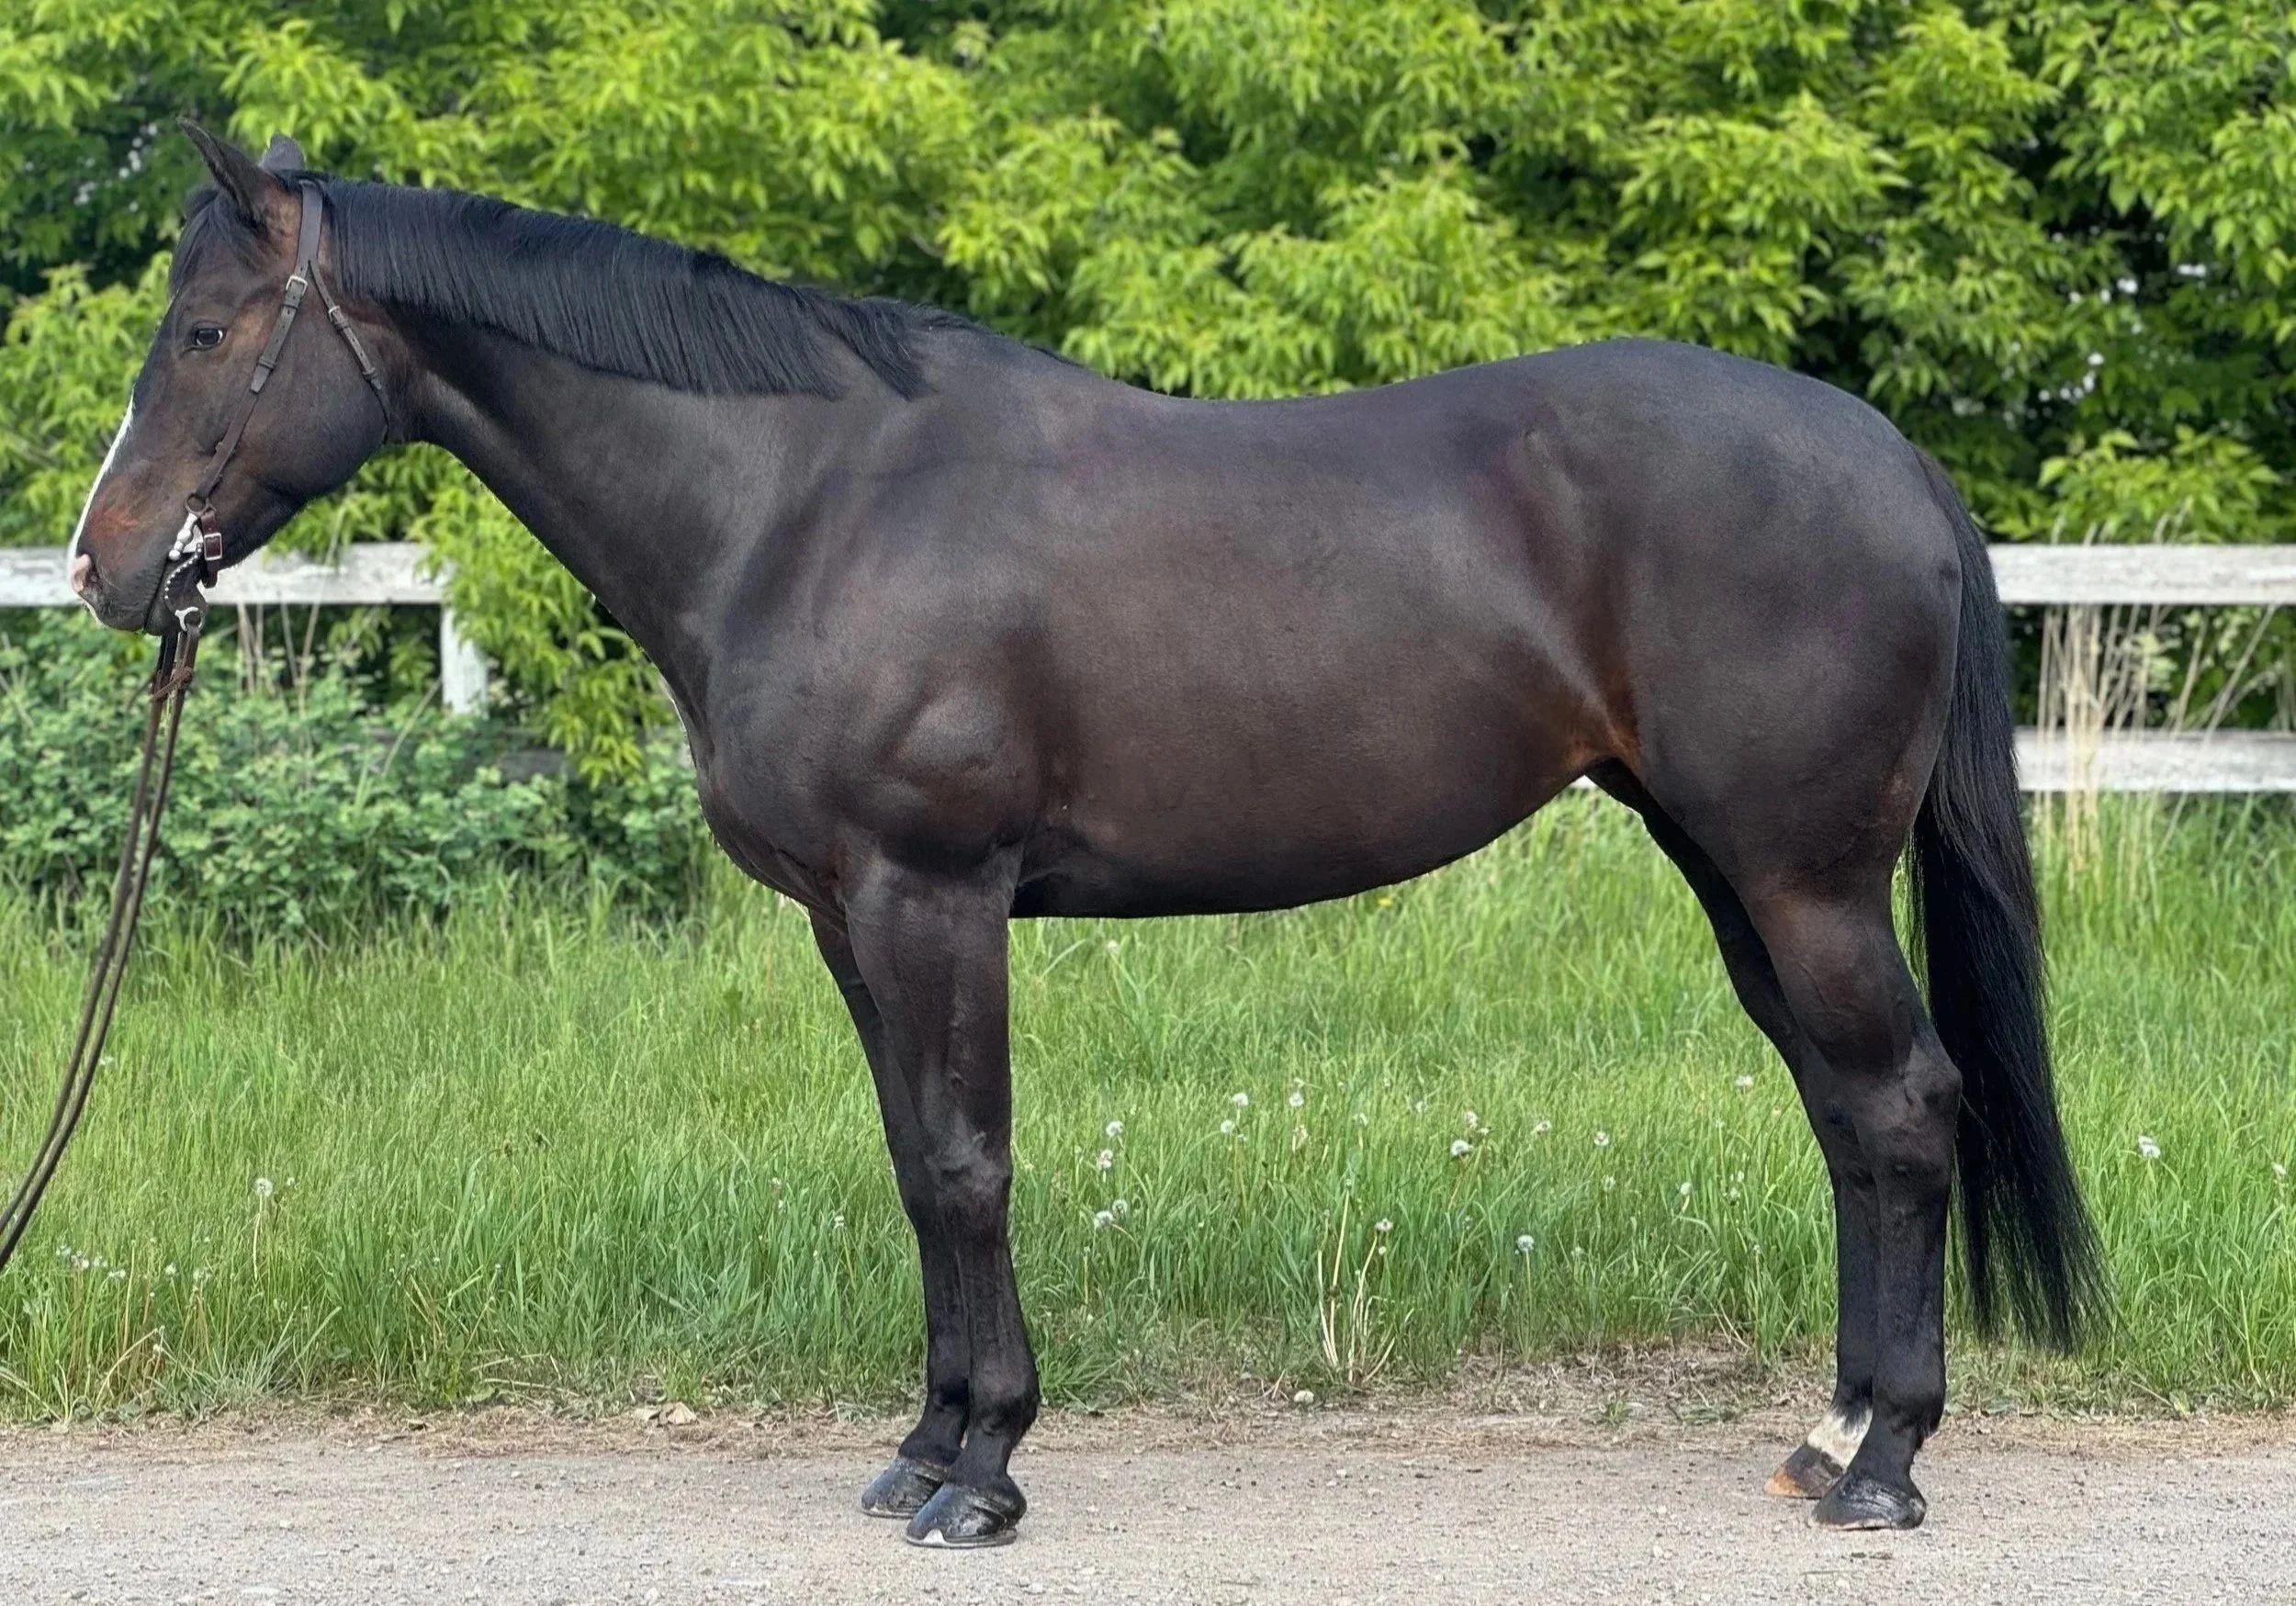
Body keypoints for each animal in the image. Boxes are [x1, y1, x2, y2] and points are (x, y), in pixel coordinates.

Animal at [67, 124, 2101, 1546]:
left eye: (209, 332)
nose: (104, 568)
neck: (800, 500)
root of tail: (1885, 454)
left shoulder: (933, 899)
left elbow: (968, 1165)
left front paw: (985, 1473)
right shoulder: (850, 918)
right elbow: (914, 1164)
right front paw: (920, 1449)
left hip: (1801, 878)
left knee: (1904, 1110)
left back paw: (1885, 1463)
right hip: (1738, 874)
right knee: (1848, 1121)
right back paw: (1828, 1433)